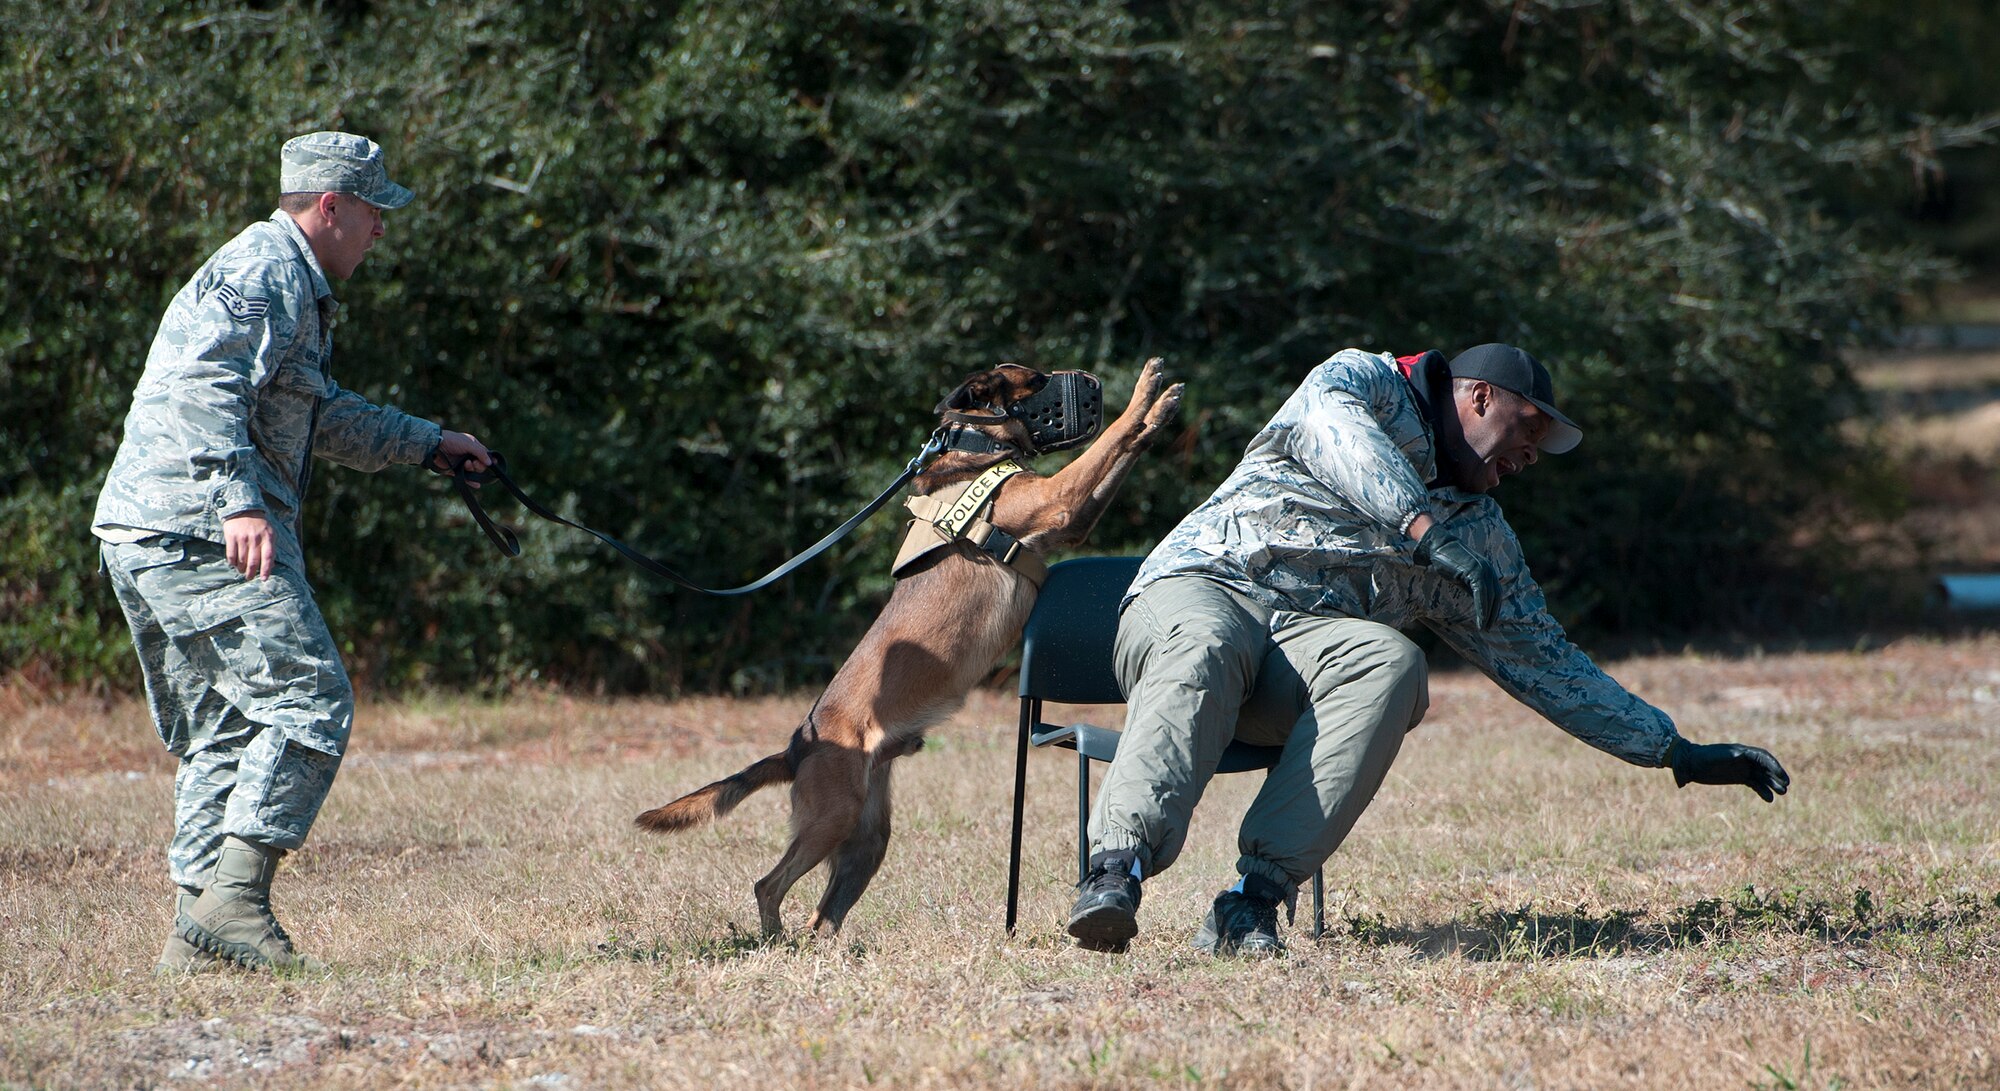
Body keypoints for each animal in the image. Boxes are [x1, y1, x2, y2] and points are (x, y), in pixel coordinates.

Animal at [632, 359, 1176, 935]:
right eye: (1034, 378)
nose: (1092, 382)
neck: (974, 447)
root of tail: (798, 747)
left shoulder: (1071, 516)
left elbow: (1121, 452)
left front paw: (1160, 412)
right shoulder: (1059, 501)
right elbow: (1110, 440)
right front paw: (1144, 392)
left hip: (868, 839)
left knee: (822, 915)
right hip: (833, 817)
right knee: (768, 885)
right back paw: (775, 940)